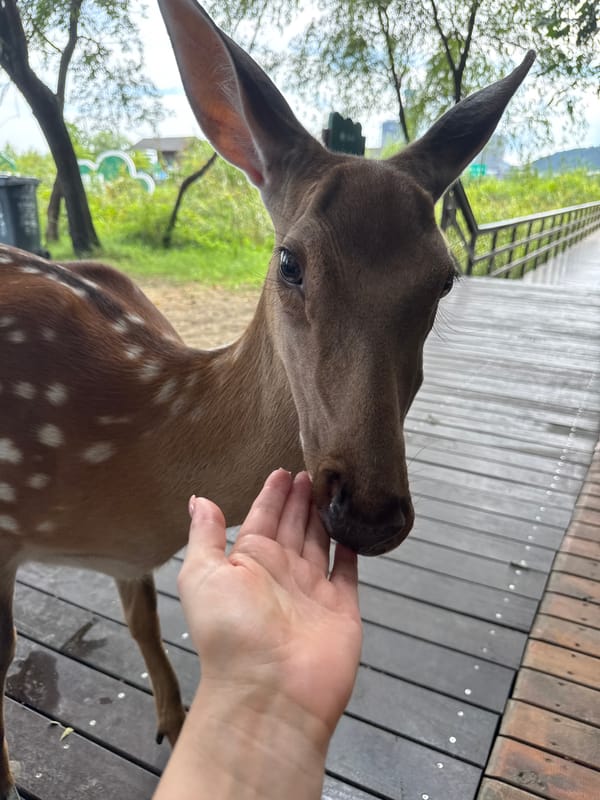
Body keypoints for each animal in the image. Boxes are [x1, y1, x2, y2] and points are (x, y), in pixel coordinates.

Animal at [0, 1, 534, 796]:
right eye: (289, 261)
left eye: (445, 278)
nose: (368, 510)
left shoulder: (130, 561)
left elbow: (144, 621)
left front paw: (175, 723)